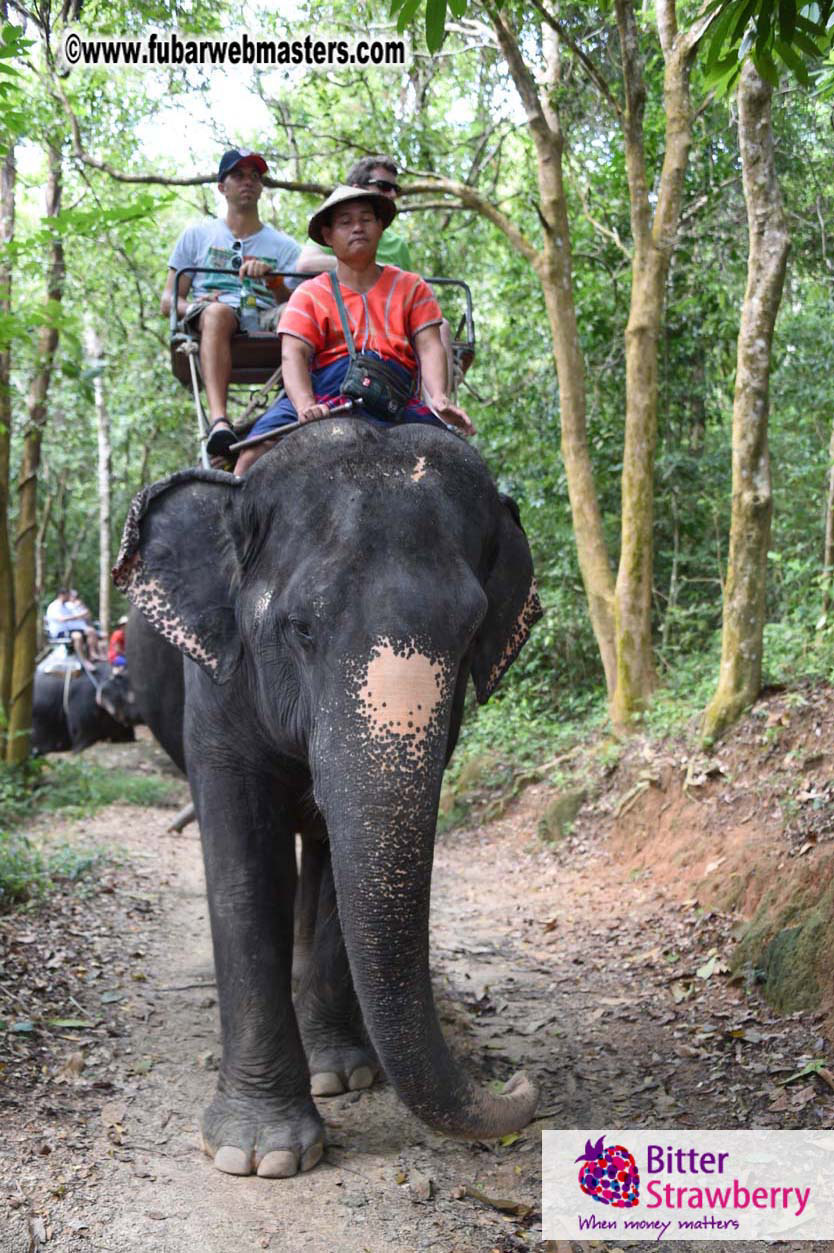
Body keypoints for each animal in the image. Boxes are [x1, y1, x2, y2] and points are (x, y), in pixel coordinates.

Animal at [114, 419, 542, 1180]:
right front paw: (261, 1154)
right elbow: (245, 865)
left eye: (471, 634)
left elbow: (347, 859)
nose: (519, 1085)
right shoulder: (215, 687)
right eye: (301, 628)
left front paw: (342, 1076)